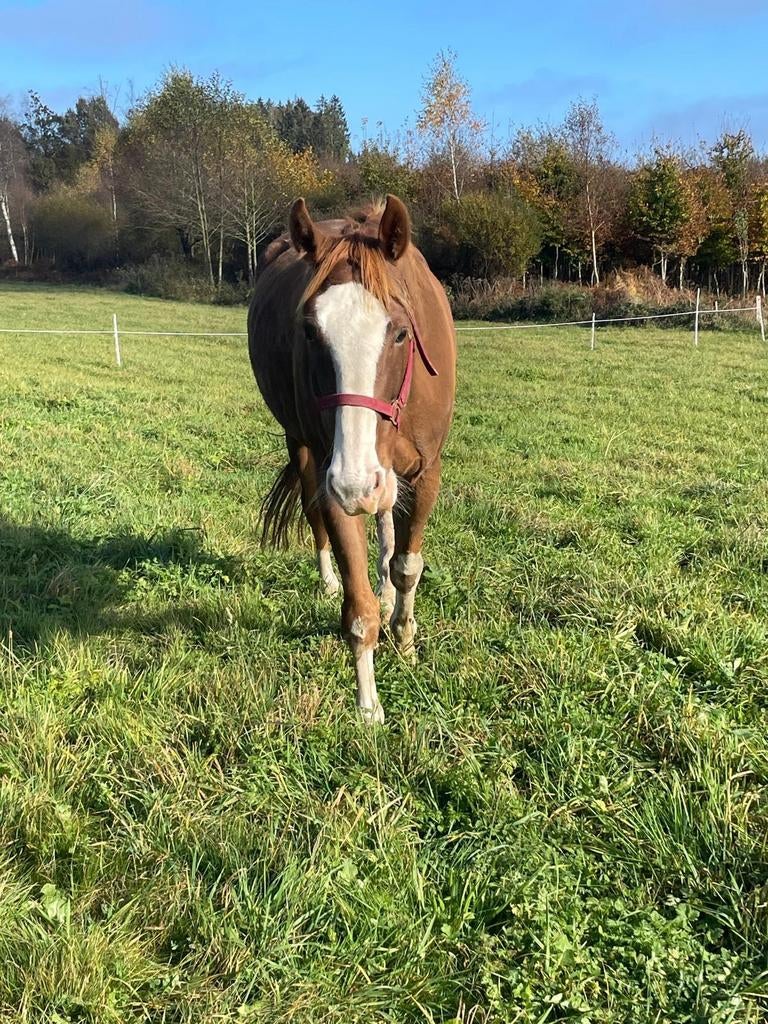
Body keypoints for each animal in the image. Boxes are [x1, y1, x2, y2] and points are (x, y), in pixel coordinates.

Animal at [247, 195, 456, 722]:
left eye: (400, 333)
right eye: (309, 332)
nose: (356, 482)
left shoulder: (425, 474)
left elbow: (407, 565)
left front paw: (405, 639)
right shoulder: (335, 479)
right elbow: (359, 610)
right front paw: (368, 707)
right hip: (303, 449)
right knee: (313, 514)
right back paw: (327, 580)